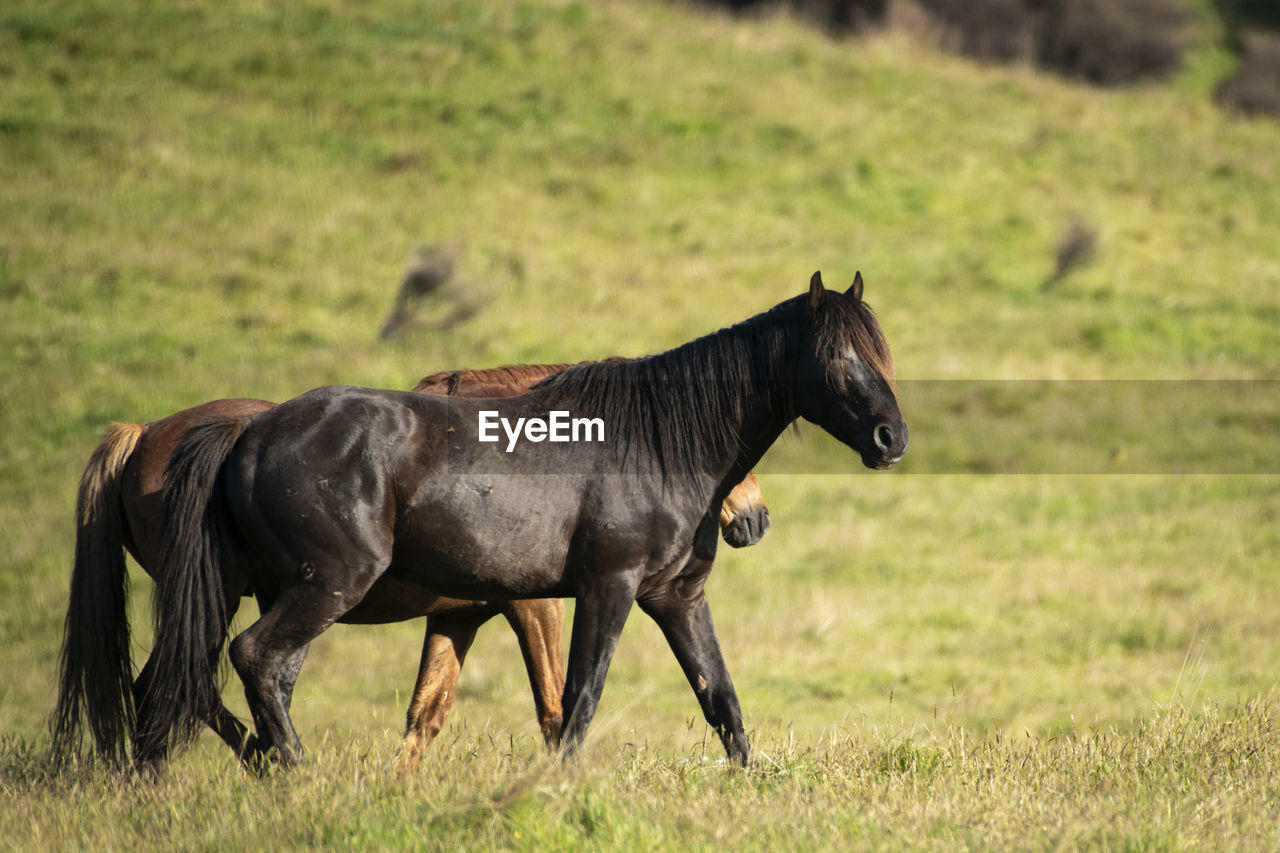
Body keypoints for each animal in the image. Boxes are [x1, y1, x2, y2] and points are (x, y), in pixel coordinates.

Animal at [52, 361, 768, 768]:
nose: (754, 520)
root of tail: (143, 436)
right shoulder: (535, 605)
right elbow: (554, 706)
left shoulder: (461, 617)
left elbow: (428, 712)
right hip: (241, 594)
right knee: (192, 678)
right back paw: (264, 764)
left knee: (174, 682)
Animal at [137, 268, 901, 768]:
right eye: (839, 358)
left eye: (881, 353)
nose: (892, 438)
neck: (657, 442)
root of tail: (250, 432)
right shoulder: (603, 588)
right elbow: (576, 701)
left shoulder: (677, 597)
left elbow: (722, 700)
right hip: (325, 586)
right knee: (249, 661)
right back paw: (292, 775)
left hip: (278, 591)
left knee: (218, 679)